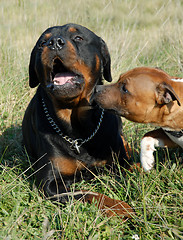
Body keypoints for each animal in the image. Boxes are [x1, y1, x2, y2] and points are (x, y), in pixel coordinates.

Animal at [22, 23, 133, 218]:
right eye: (42, 43)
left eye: (78, 38)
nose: (54, 42)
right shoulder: (50, 184)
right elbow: (88, 194)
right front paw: (119, 206)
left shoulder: (118, 161)